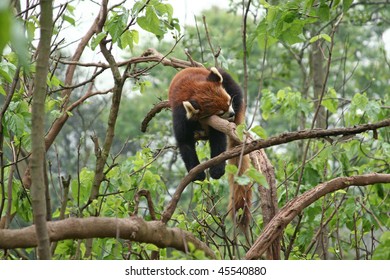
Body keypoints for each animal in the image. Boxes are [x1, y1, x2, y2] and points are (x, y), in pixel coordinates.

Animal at [168, 66, 253, 231]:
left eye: (229, 102)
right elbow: (184, 143)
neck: (193, 90)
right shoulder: (180, 113)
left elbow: (218, 140)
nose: (232, 114)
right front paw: (197, 173)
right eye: (220, 111)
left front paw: (217, 170)